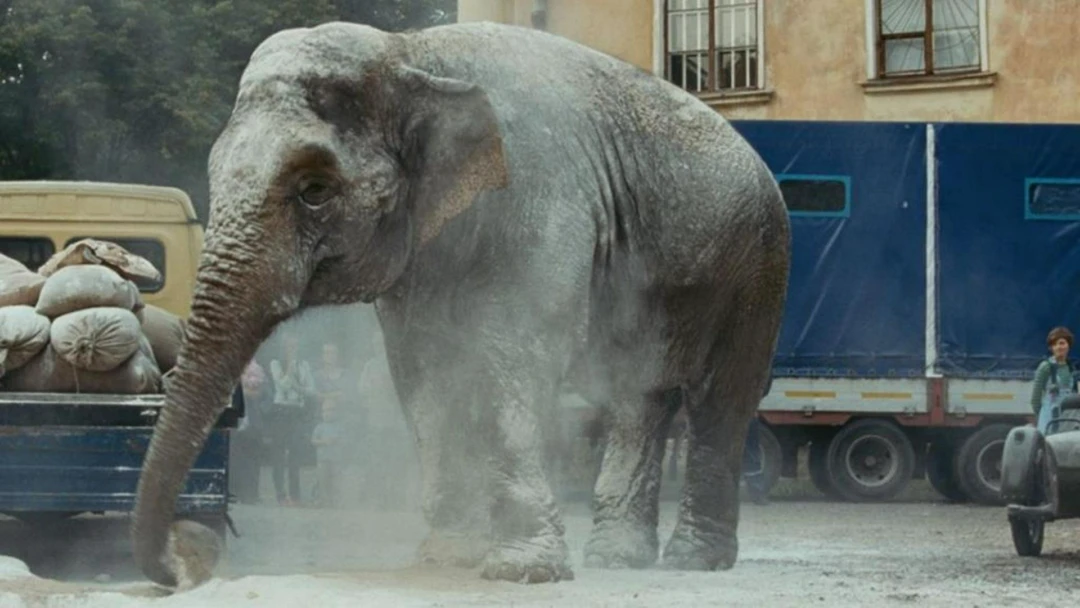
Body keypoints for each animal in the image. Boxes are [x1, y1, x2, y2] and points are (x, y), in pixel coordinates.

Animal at [130, 20, 790, 589]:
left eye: (313, 190)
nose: (184, 562)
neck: (410, 53)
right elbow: (422, 371)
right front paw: (447, 558)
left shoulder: (540, 195)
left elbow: (511, 358)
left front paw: (522, 572)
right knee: (640, 397)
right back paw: (619, 559)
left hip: (757, 268)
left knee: (719, 400)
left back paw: (693, 560)